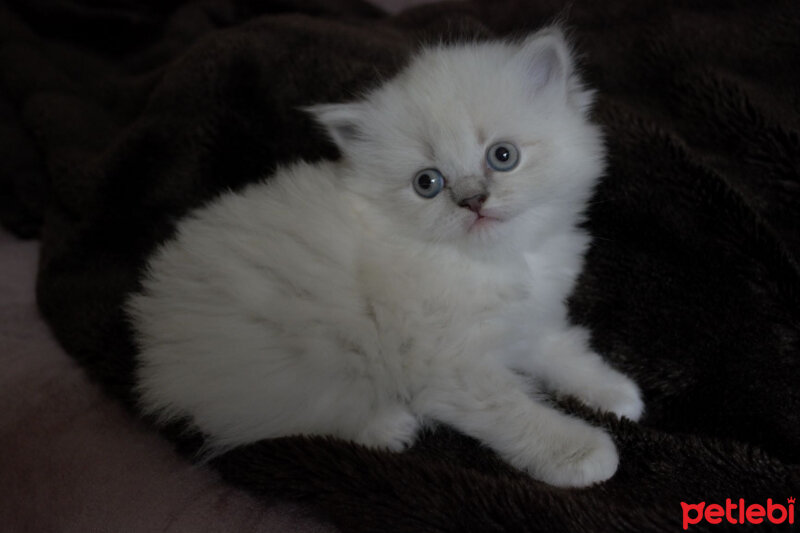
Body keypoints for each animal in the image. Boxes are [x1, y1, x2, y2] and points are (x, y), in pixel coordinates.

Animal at [130, 28, 644, 486]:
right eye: (427, 183)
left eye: (503, 156)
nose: (472, 201)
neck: (494, 261)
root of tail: (154, 346)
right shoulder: (450, 366)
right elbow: (515, 412)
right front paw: (583, 453)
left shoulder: (529, 323)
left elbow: (566, 353)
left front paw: (617, 394)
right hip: (296, 358)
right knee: (281, 415)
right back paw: (390, 426)